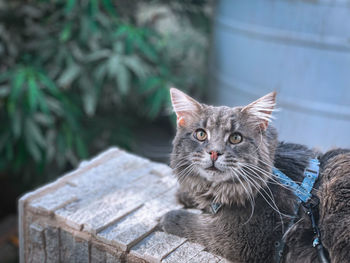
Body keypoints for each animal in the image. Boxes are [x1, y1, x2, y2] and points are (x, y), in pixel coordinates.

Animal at [161, 89, 350, 263]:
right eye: (200, 134)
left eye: (236, 138)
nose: (214, 152)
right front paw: (186, 195)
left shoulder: (241, 238)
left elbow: (194, 224)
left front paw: (168, 217)